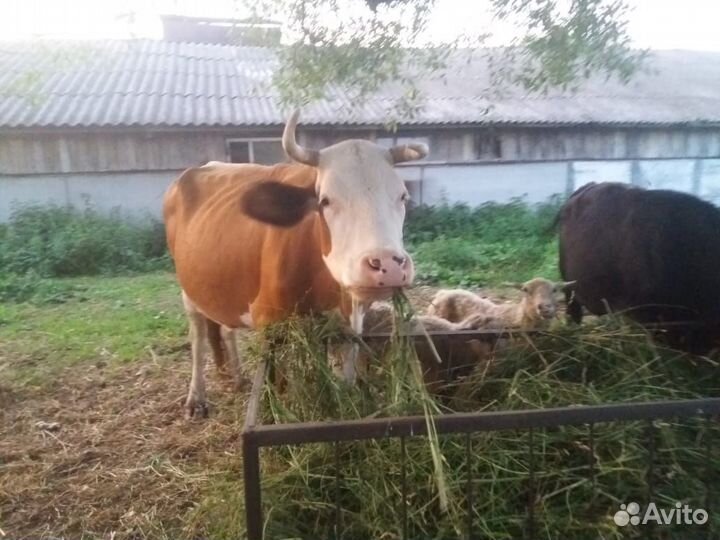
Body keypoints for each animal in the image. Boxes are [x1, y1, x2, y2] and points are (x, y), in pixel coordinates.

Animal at [163, 110, 428, 417]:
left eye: (403, 196)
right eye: (325, 200)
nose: (388, 265)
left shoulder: (350, 321)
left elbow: (347, 375)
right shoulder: (269, 323)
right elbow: (276, 383)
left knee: (227, 328)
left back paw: (238, 378)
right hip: (188, 289)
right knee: (198, 337)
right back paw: (196, 398)